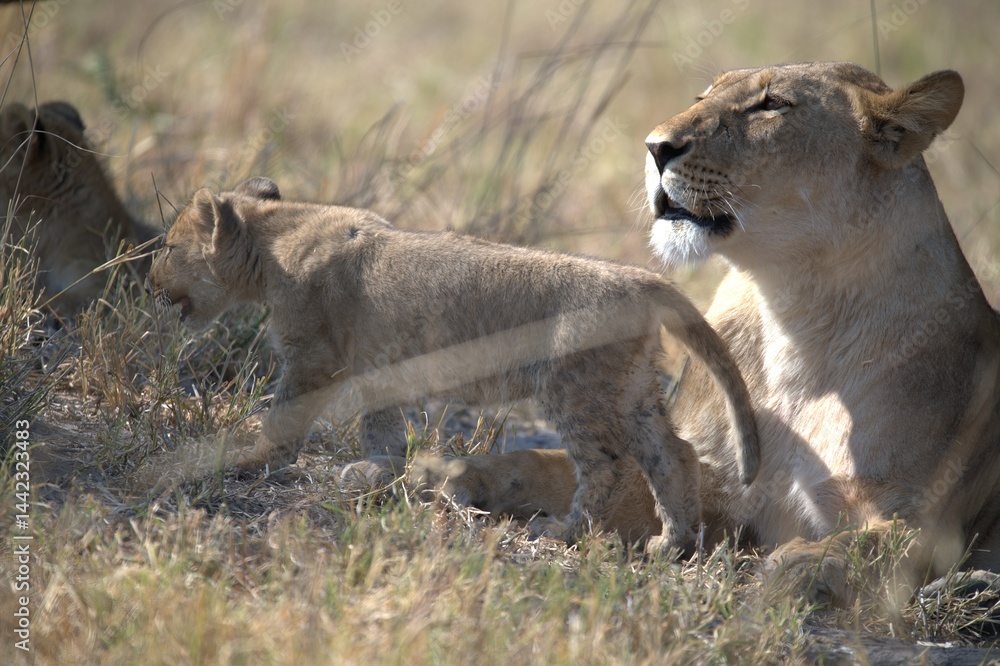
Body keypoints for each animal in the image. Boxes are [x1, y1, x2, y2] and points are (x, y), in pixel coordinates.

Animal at [146, 176, 760, 554]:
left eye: (171, 248)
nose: (148, 283)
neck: (276, 233)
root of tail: (640, 278)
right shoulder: (380, 367)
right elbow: (382, 429)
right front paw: (380, 474)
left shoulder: (312, 357)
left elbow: (285, 415)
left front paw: (254, 457)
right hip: (629, 388)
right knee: (672, 454)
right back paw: (672, 543)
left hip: (576, 387)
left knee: (608, 465)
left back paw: (563, 532)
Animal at [408, 62, 1000, 606]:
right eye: (703, 95)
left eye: (771, 105)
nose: (654, 147)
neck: (796, 319)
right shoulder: (716, 481)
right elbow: (554, 466)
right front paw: (450, 473)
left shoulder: (920, 517)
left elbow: (877, 541)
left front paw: (802, 565)